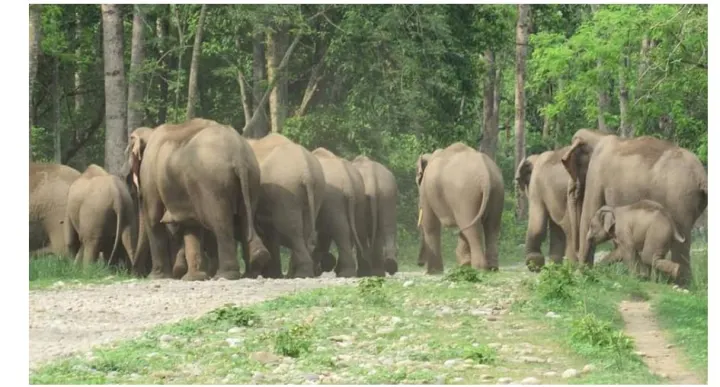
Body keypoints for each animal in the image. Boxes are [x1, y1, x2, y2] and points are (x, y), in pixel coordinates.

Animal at [124, 118, 270, 282]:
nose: (134, 274)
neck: (150, 132)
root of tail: (238, 155)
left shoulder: (149, 176)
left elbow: (153, 219)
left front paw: (156, 277)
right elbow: (191, 225)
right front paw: (194, 278)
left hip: (212, 184)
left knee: (220, 223)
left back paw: (224, 275)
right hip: (252, 179)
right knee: (244, 217)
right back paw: (255, 265)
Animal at [248, 133, 326, 278]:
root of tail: (307, 172)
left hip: (287, 188)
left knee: (290, 228)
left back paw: (300, 274)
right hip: (316, 190)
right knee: (304, 229)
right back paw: (297, 273)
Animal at [310, 147, 368, 278]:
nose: (319, 270)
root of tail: (348, 182)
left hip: (333, 198)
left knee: (341, 230)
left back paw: (344, 273)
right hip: (358, 198)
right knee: (354, 229)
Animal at [416, 142, 506, 272]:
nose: (419, 263)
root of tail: (485, 175)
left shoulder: (426, 189)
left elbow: (430, 223)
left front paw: (433, 273)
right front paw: (464, 265)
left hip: (466, 195)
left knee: (471, 227)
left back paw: (479, 268)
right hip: (497, 191)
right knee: (491, 226)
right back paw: (492, 268)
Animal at [560, 129, 704, 286]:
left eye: (570, 167)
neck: (599, 135)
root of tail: (702, 175)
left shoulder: (596, 173)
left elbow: (589, 213)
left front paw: (583, 276)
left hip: (678, 198)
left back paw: (677, 284)